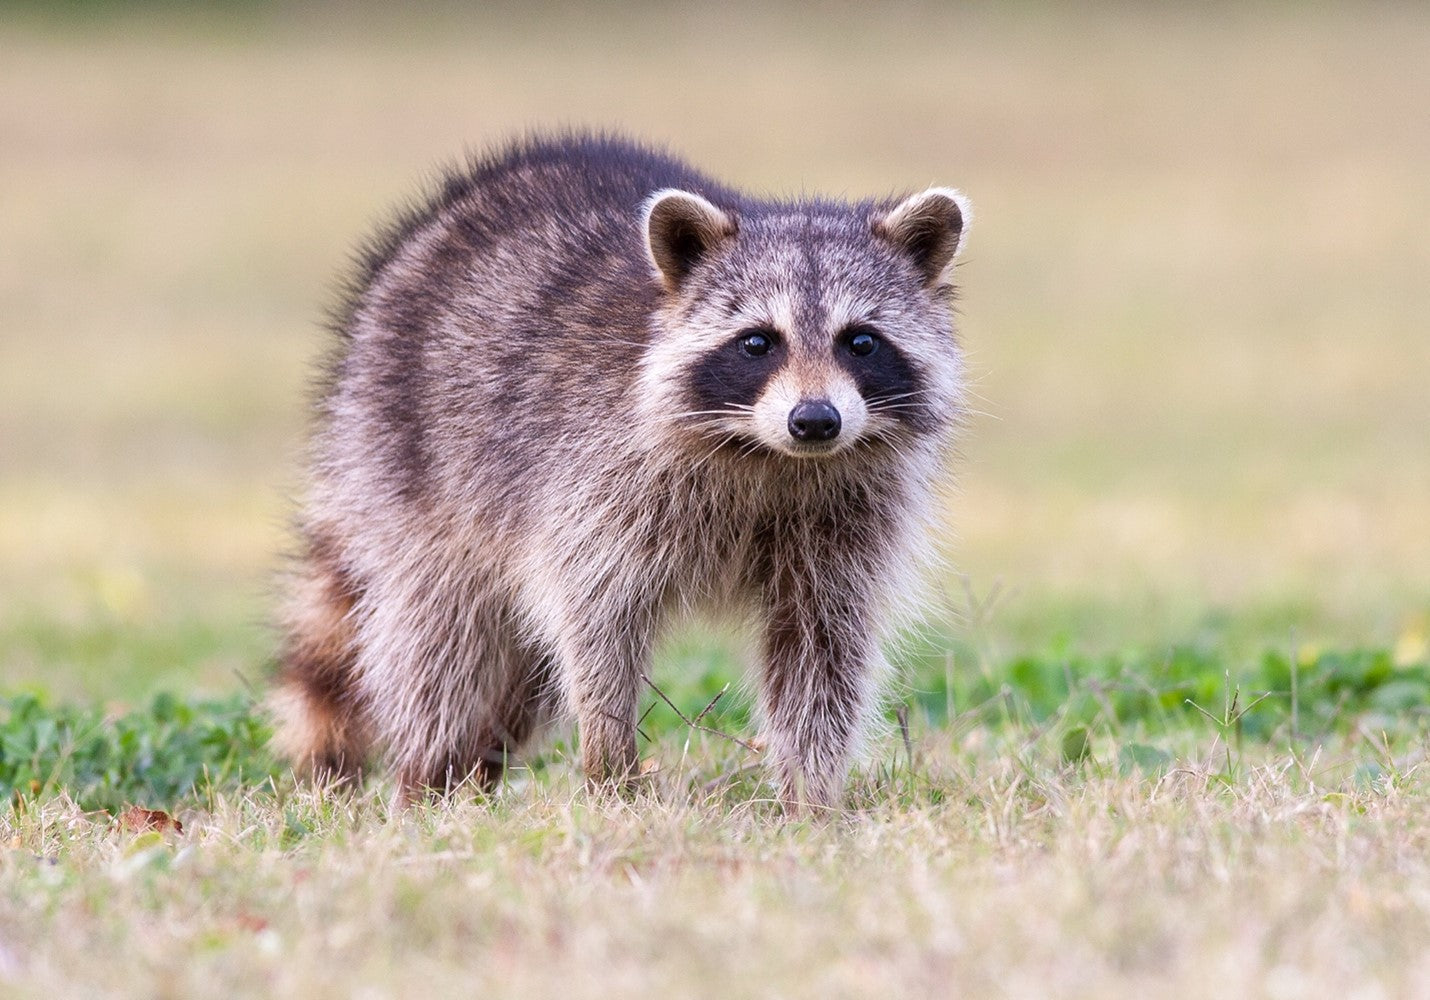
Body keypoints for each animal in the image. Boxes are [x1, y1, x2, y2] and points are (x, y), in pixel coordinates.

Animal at [270, 133, 972, 812]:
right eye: (757, 342)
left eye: (861, 341)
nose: (816, 420)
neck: (767, 455)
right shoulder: (594, 480)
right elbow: (594, 623)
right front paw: (612, 769)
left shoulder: (849, 520)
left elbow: (820, 651)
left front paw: (812, 797)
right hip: (409, 464)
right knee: (441, 643)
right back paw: (429, 780)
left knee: (517, 682)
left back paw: (475, 775)